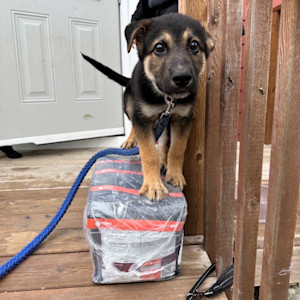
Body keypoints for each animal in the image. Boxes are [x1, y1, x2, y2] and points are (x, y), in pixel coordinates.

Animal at [81, 14, 214, 202]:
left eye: (194, 45)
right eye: (159, 48)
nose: (182, 78)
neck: (167, 98)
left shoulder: (182, 119)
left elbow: (177, 148)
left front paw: (175, 174)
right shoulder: (142, 118)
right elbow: (149, 153)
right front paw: (153, 185)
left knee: (164, 140)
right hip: (129, 103)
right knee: (133, 124)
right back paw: (131, 140)